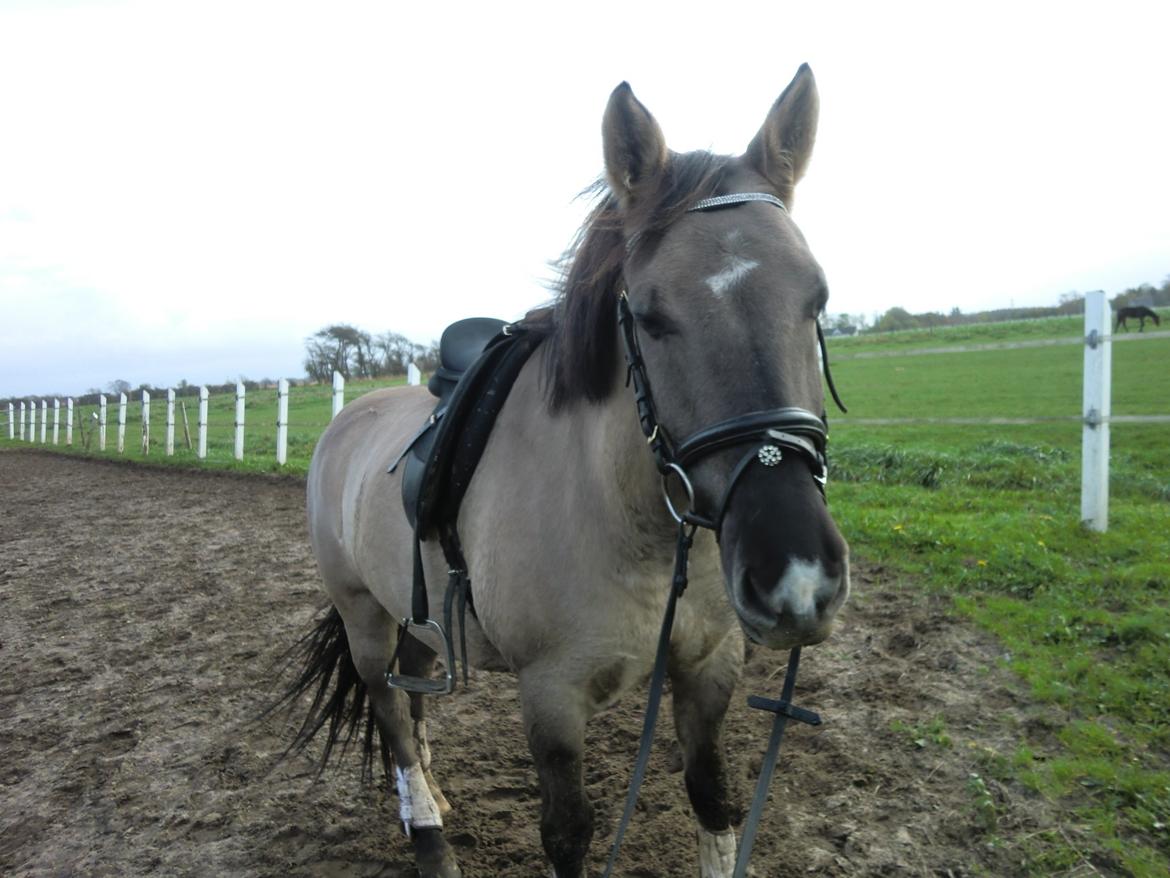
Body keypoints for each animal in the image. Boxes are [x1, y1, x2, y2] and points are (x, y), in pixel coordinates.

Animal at [283, 63, 851, 878]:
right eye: (648, 315)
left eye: (818, 298)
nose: (796, 577)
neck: (633, 523)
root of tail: (346, 422)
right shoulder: (552, 696)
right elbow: (568, 832)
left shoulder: (710, 664)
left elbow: (713, 799)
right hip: (363, 616)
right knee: (390, 712)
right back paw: (428, 834)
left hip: (410, 612)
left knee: (413, 693)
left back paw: (433, 797)